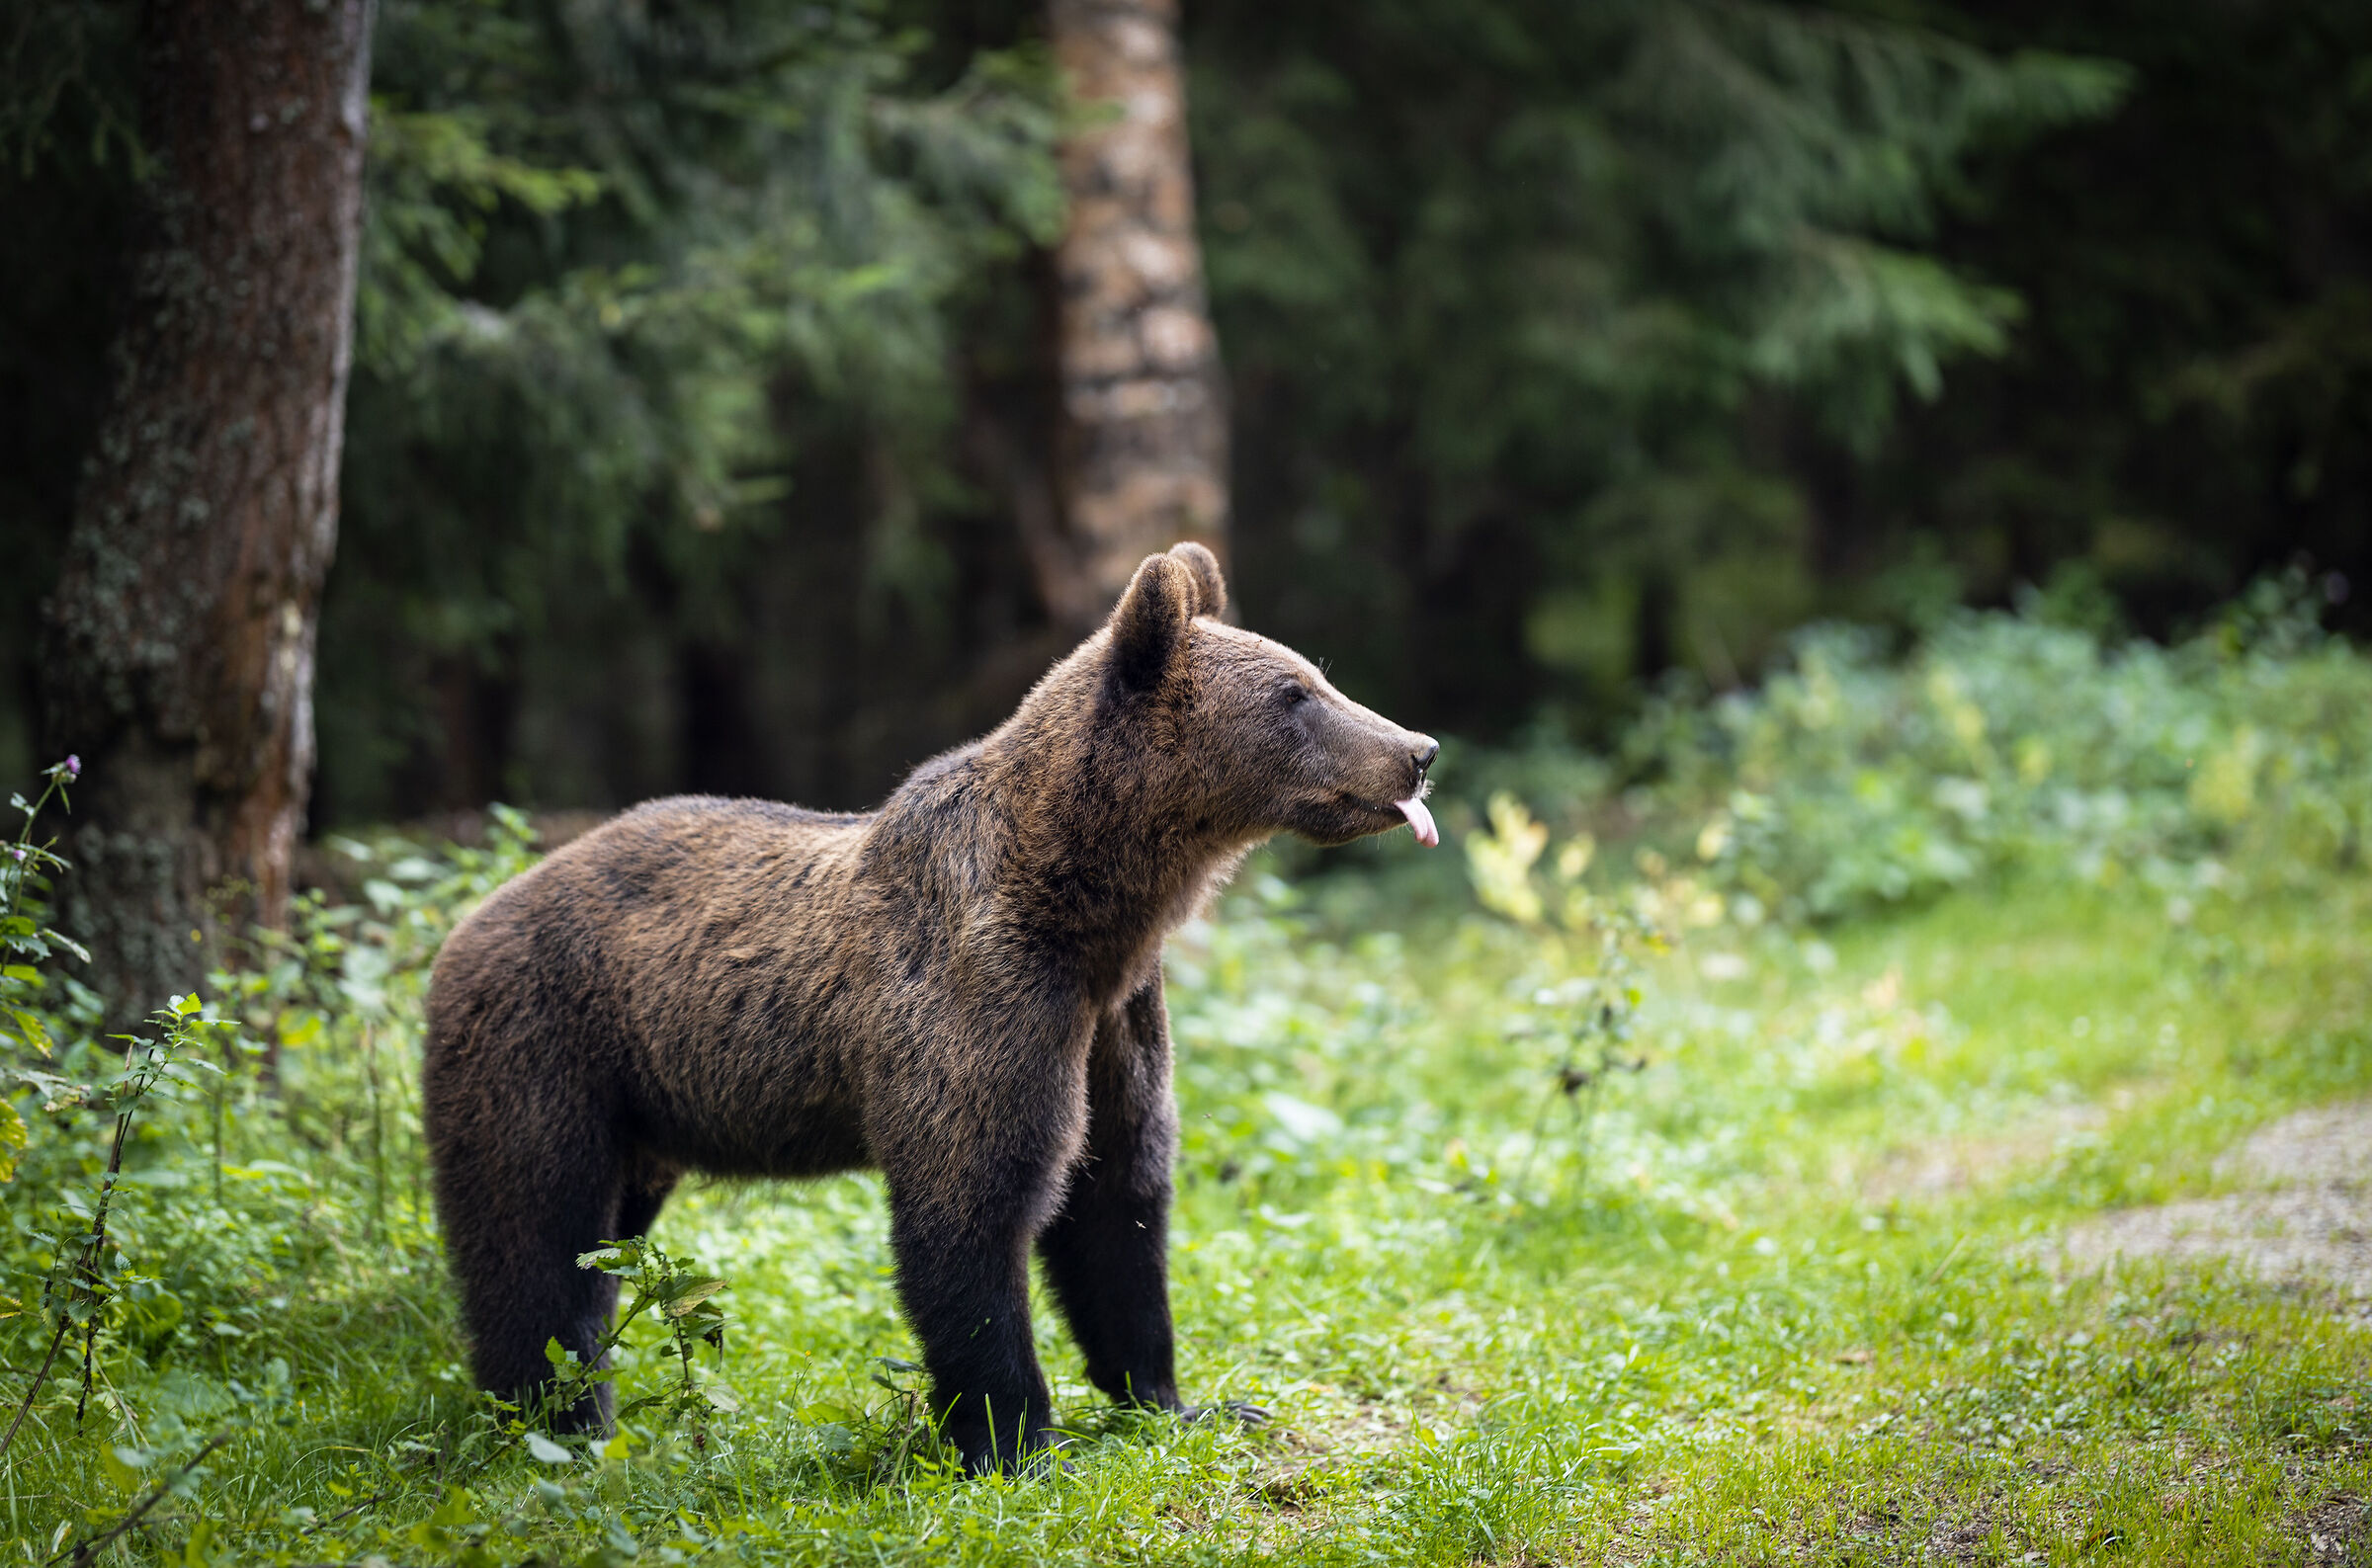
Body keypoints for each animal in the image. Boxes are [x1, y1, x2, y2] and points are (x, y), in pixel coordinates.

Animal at [422, 542, 1439, 1472]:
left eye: (1316, 675)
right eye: (1295, 693)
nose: (1418, 750)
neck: (1088, 903)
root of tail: (469, 920)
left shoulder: (1115, 1020)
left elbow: (1120, 1202)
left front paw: (1182, 1400)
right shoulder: (982, 998)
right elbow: (971, 1211)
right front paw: (1016, 1441)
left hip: (638, 1107)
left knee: (599, 1243)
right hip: (545, 1045)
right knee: (535, 1241)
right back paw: (554, 1423)